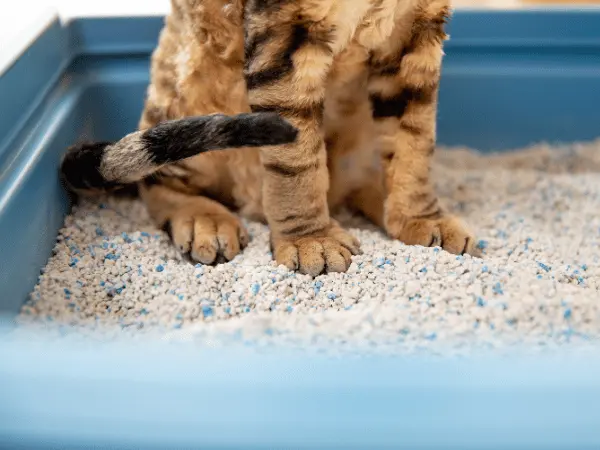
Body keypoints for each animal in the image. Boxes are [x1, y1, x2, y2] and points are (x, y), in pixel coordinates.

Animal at [59, 0, 474, 276]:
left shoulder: (415, 31)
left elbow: (414, 140)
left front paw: (421, 218)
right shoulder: (285, 34)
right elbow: (297, 161)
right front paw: (311, 240)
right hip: (189, 92)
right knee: (158, 181)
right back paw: (203, 219)